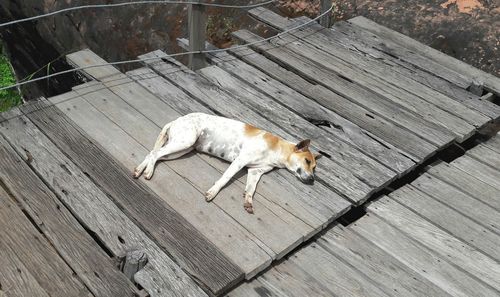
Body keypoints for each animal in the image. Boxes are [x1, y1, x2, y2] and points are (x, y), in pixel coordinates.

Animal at [134, 112, 320, 212]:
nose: (312, 180)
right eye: (306, 161)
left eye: (314, 167)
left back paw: (139, 170)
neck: (277, 150)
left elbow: (251, 189)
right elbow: (225, 178)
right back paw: (148, 171)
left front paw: (248, 202)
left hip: (181, 149)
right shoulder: (240, 160)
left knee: (153, 154)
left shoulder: (255, 172)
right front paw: (212, 192)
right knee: (155, 153)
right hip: (183, 142)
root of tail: (177, 120)